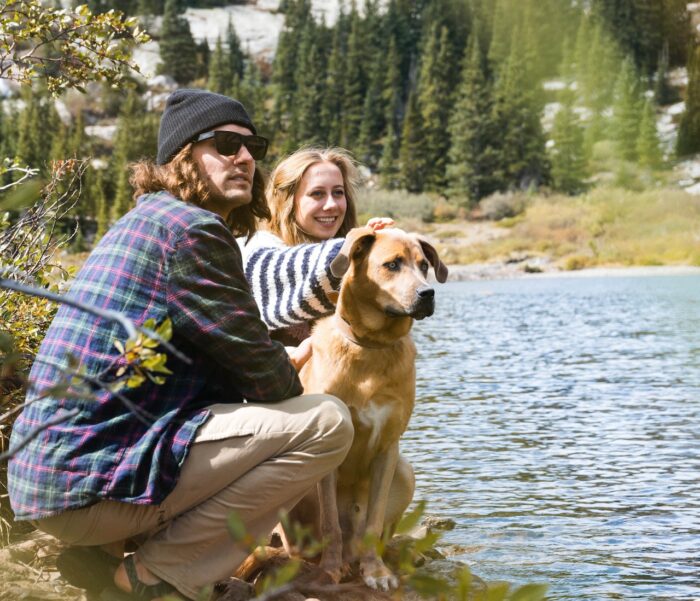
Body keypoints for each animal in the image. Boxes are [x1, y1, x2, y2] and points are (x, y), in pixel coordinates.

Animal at [290, 227, 448, 588]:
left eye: (424, 265)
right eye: (392, 264)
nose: (428, 293)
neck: (371, 348)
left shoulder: (388, 449)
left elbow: (373, 523)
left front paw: (376, 571)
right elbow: (330, 524)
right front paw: (329, 570)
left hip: (404, 471)